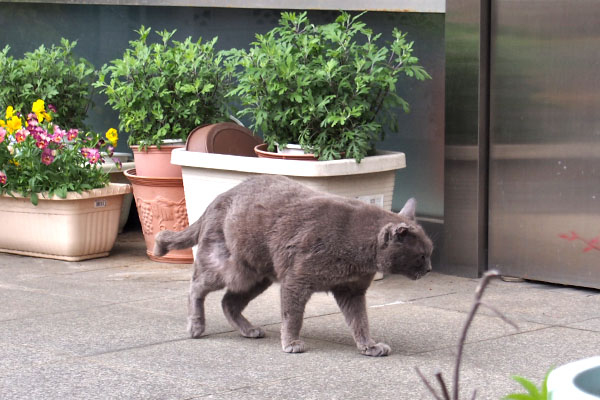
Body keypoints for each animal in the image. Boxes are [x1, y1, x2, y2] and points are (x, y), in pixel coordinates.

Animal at [155, 175, 432, 356]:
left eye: (430, 252)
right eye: (421, 255)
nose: (429, 269)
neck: (360, 250)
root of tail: (217, 199)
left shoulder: (352, 291)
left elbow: (360, 321)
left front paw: (369, 346)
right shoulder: (296, 281)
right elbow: (293, 316)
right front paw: (291, 344)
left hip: (257, 276)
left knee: (228, 302)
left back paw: (249, 330)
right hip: (231, 267)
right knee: (196, 286)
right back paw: (196, 326)